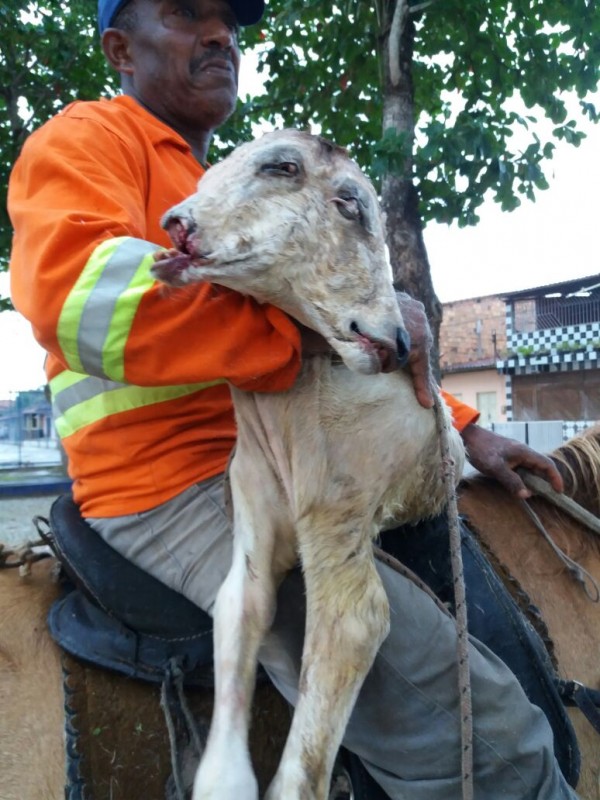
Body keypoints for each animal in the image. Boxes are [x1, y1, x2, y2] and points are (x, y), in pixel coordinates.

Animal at [151, 131, 464, 800]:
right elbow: (240, 607)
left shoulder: (342, 525)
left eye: (282, 167)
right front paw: (223, 778)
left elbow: (351, 630)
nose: (401, 341)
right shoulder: (254, 515)